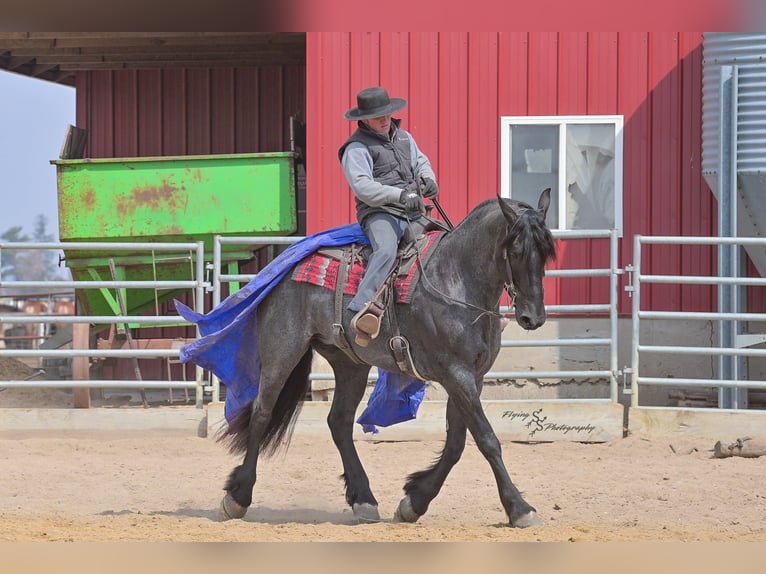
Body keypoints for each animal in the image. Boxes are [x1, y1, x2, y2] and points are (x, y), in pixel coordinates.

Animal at [180, 188, 556, 528]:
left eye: (546, 253)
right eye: (516, 251)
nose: (533, 317)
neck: (456, 280)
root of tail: (288, 268)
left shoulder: (470, 377)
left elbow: (457, 444)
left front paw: (414, 502)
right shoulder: (456, 374)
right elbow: (487, 440)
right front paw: (520, 508)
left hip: (350, 364)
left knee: (339, 422)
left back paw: (363, 499)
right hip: (282, 349)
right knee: (261, 413)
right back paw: (237, 497)